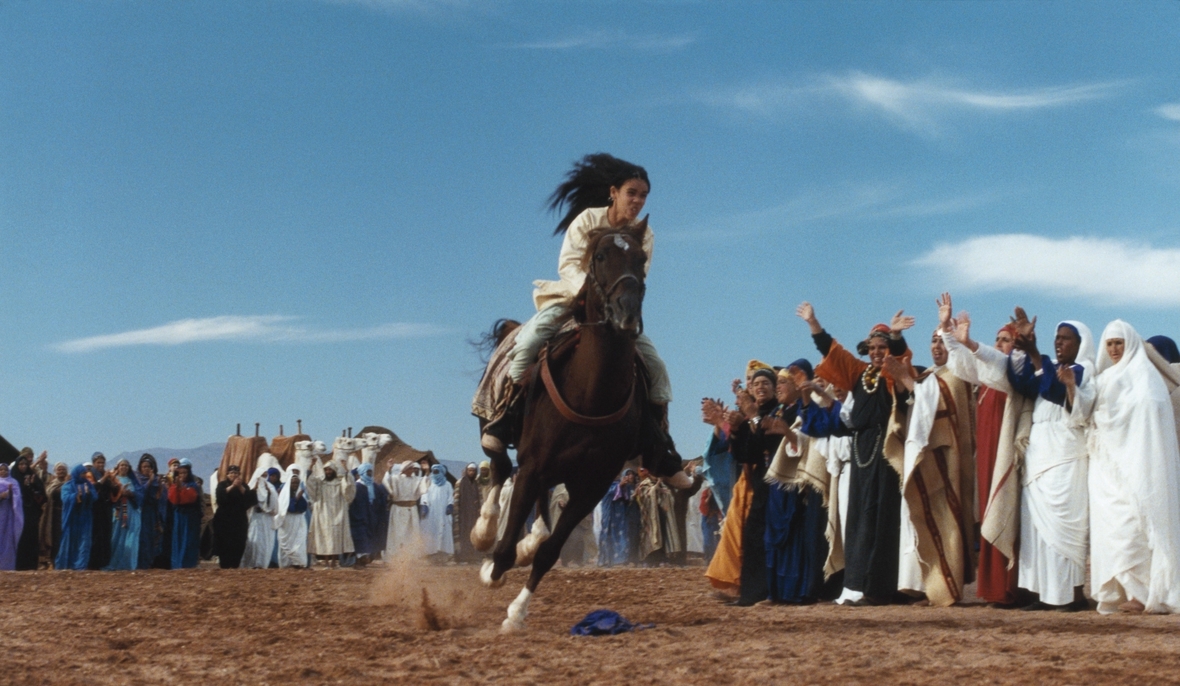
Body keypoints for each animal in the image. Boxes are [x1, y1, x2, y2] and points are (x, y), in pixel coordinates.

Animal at [476, 219, 656, 632]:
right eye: (601, 255)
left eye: (641, 258)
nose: (626, 312)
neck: (591, 393)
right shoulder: (532, 467)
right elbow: (504, 550)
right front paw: (491, 570)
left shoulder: (592, 485)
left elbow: (549, 552)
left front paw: (516, 612)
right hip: (496, 432)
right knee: (498, 464)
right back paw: (483, 530)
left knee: (540, 509)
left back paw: (527, 541)